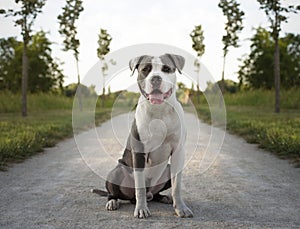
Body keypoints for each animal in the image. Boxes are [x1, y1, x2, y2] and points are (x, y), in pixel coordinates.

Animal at [91, 53, 193, 218]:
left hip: (166, 170)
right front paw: (141, 209)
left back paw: (163, 197)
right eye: (145, 69)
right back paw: (113, 202)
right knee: (116, 193)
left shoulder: (178, 152)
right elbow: (140, 186)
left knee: (154, 192)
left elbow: (177, 185)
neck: (159, 110)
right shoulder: (139, 152)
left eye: (166, 69)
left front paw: (181, 208)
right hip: (116, 172)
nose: (156, 78)